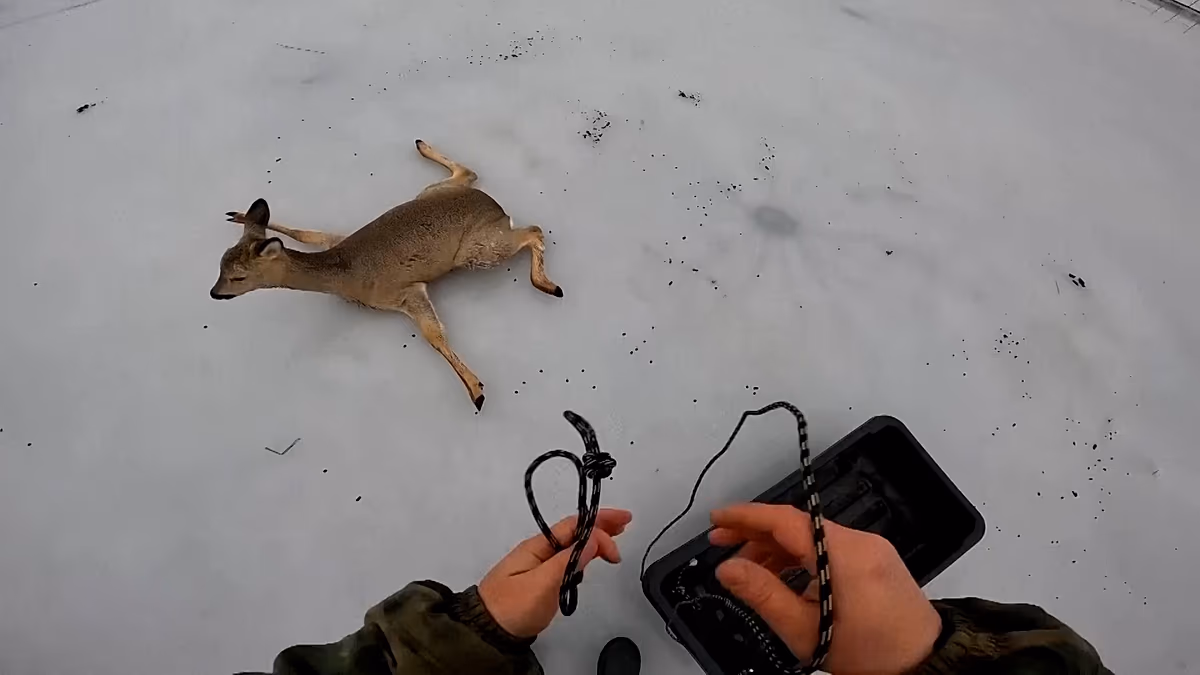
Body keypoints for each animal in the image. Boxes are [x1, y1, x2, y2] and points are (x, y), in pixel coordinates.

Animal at [210, 140, 562, 411]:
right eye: (220, 266)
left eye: (238, 277)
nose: (215, 293)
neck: (344, 271)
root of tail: (496, 207)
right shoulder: (334, 240)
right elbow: (308, 232)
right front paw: (237, 214)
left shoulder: (406, 292)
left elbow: (434, 335)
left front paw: (476, 391)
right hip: (433, 196)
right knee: (470, 175)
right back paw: (422, 145)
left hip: (478, 251)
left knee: (533, 230)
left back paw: (548, 285)